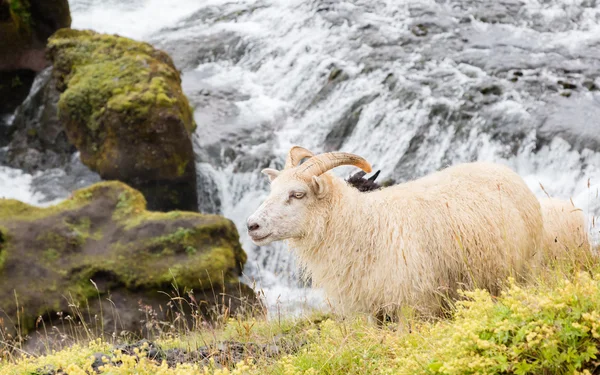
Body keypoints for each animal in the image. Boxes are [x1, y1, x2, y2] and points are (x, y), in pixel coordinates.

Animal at [246, 147, 548, 320]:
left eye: (297, 194)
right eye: (273, 190)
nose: (251, 225)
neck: (363, 225)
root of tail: (500, 168)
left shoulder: (411, 303)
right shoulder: (367, 308)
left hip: (520, 272)